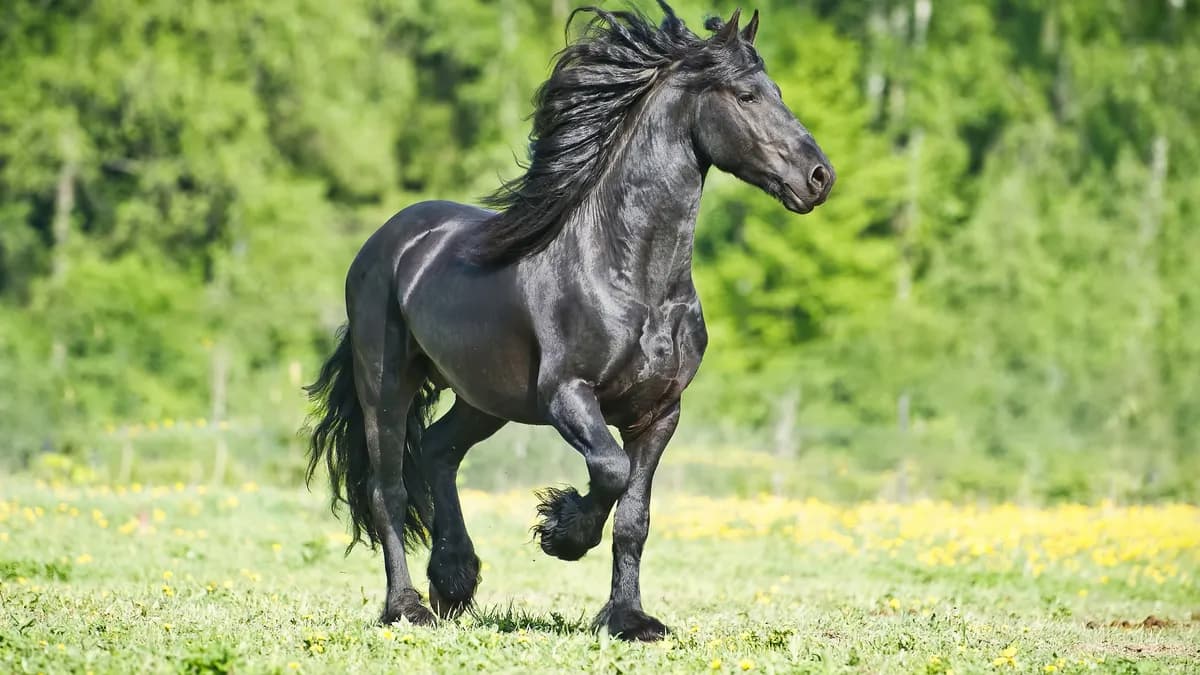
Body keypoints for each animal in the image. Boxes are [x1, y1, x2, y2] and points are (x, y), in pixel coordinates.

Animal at [305, 1, 834, 642]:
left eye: (777, 91)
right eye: (747, 95)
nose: (819, 177)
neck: (633, 280)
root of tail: (387, 240)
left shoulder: (660, 413)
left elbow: (635, 517)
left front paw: (629, 619)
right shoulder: (567, 395)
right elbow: (608, 470)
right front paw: (562, 533)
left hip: (485, 397)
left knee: (437, 451)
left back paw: (455, 580)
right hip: (385, 386)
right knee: (388, 489)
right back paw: (408, 607)